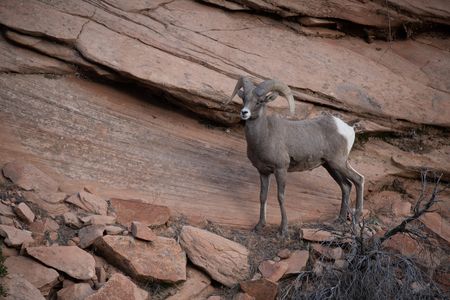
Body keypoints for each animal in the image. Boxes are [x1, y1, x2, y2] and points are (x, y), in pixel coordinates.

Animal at [227, 76, 364, 236]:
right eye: (244, 98)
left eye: (259, 101)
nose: (244, 113)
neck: (264, 135)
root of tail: (348, 127)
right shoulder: (263, 172)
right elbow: (262, 196)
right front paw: (259, 226)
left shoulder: (281, 169)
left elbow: (280, 197)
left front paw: (283, 231)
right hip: (330, 166)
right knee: (346, 186)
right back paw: (340, 220)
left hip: (338, 163)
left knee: (359, 180)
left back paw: (356, 220)